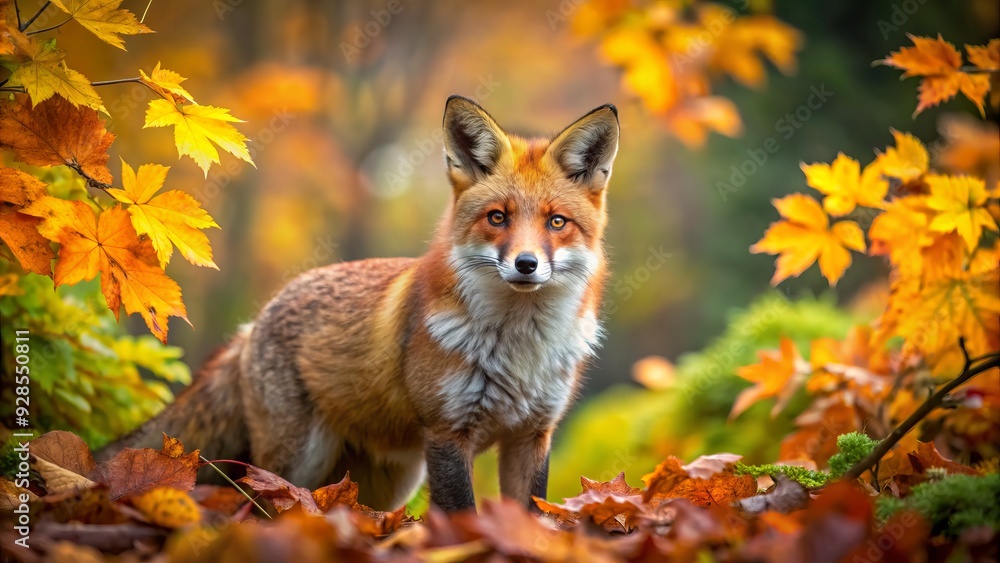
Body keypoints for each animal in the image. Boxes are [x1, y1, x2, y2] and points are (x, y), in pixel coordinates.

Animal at [115, 95, 620, 513]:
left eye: (557, 222)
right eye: (498, 218)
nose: (526, 264)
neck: (518, 348)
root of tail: (253, 322)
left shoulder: (532, 434)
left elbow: (532, 515)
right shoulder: (447, 432)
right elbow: (461, 513)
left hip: (388, 480)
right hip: (297, 460)